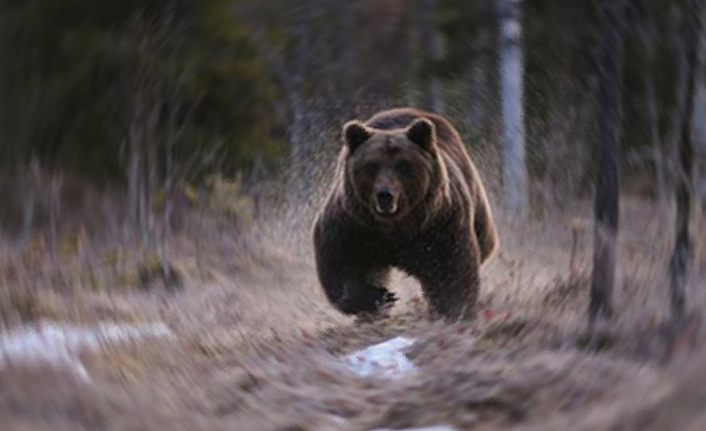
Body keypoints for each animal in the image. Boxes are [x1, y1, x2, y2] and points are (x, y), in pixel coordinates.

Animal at [310, 106, 498, 322]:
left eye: (403, 165)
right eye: (372, 165)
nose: (385, 195)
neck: (395, 226)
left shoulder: (439, 225)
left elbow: (453, 267)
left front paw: (454, 310)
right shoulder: (355, 225)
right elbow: (338, 259)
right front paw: (380, 297)